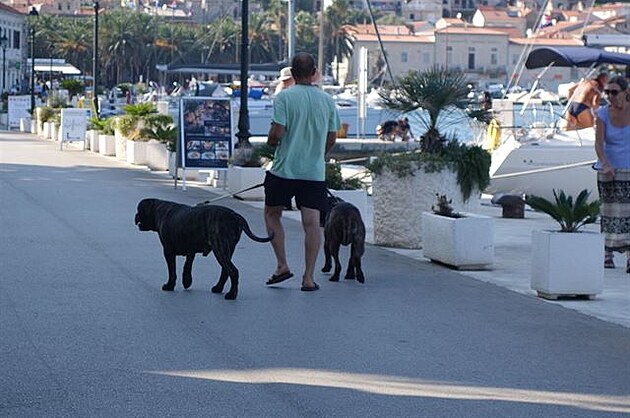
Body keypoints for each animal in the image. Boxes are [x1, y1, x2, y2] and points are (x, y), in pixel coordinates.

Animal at [136, 199, 274, 300]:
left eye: (139, 210)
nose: (135, 215)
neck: (158, 210)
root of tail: (236, 216)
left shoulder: (168, 252)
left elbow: (172, 271)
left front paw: (169, 285)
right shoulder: (190, 250)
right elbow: (187, 266)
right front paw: (187, 281)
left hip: (220, 249)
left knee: (233, 271)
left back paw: (231, 294)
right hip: (226, 250)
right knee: (226, 271)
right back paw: (218, 288)